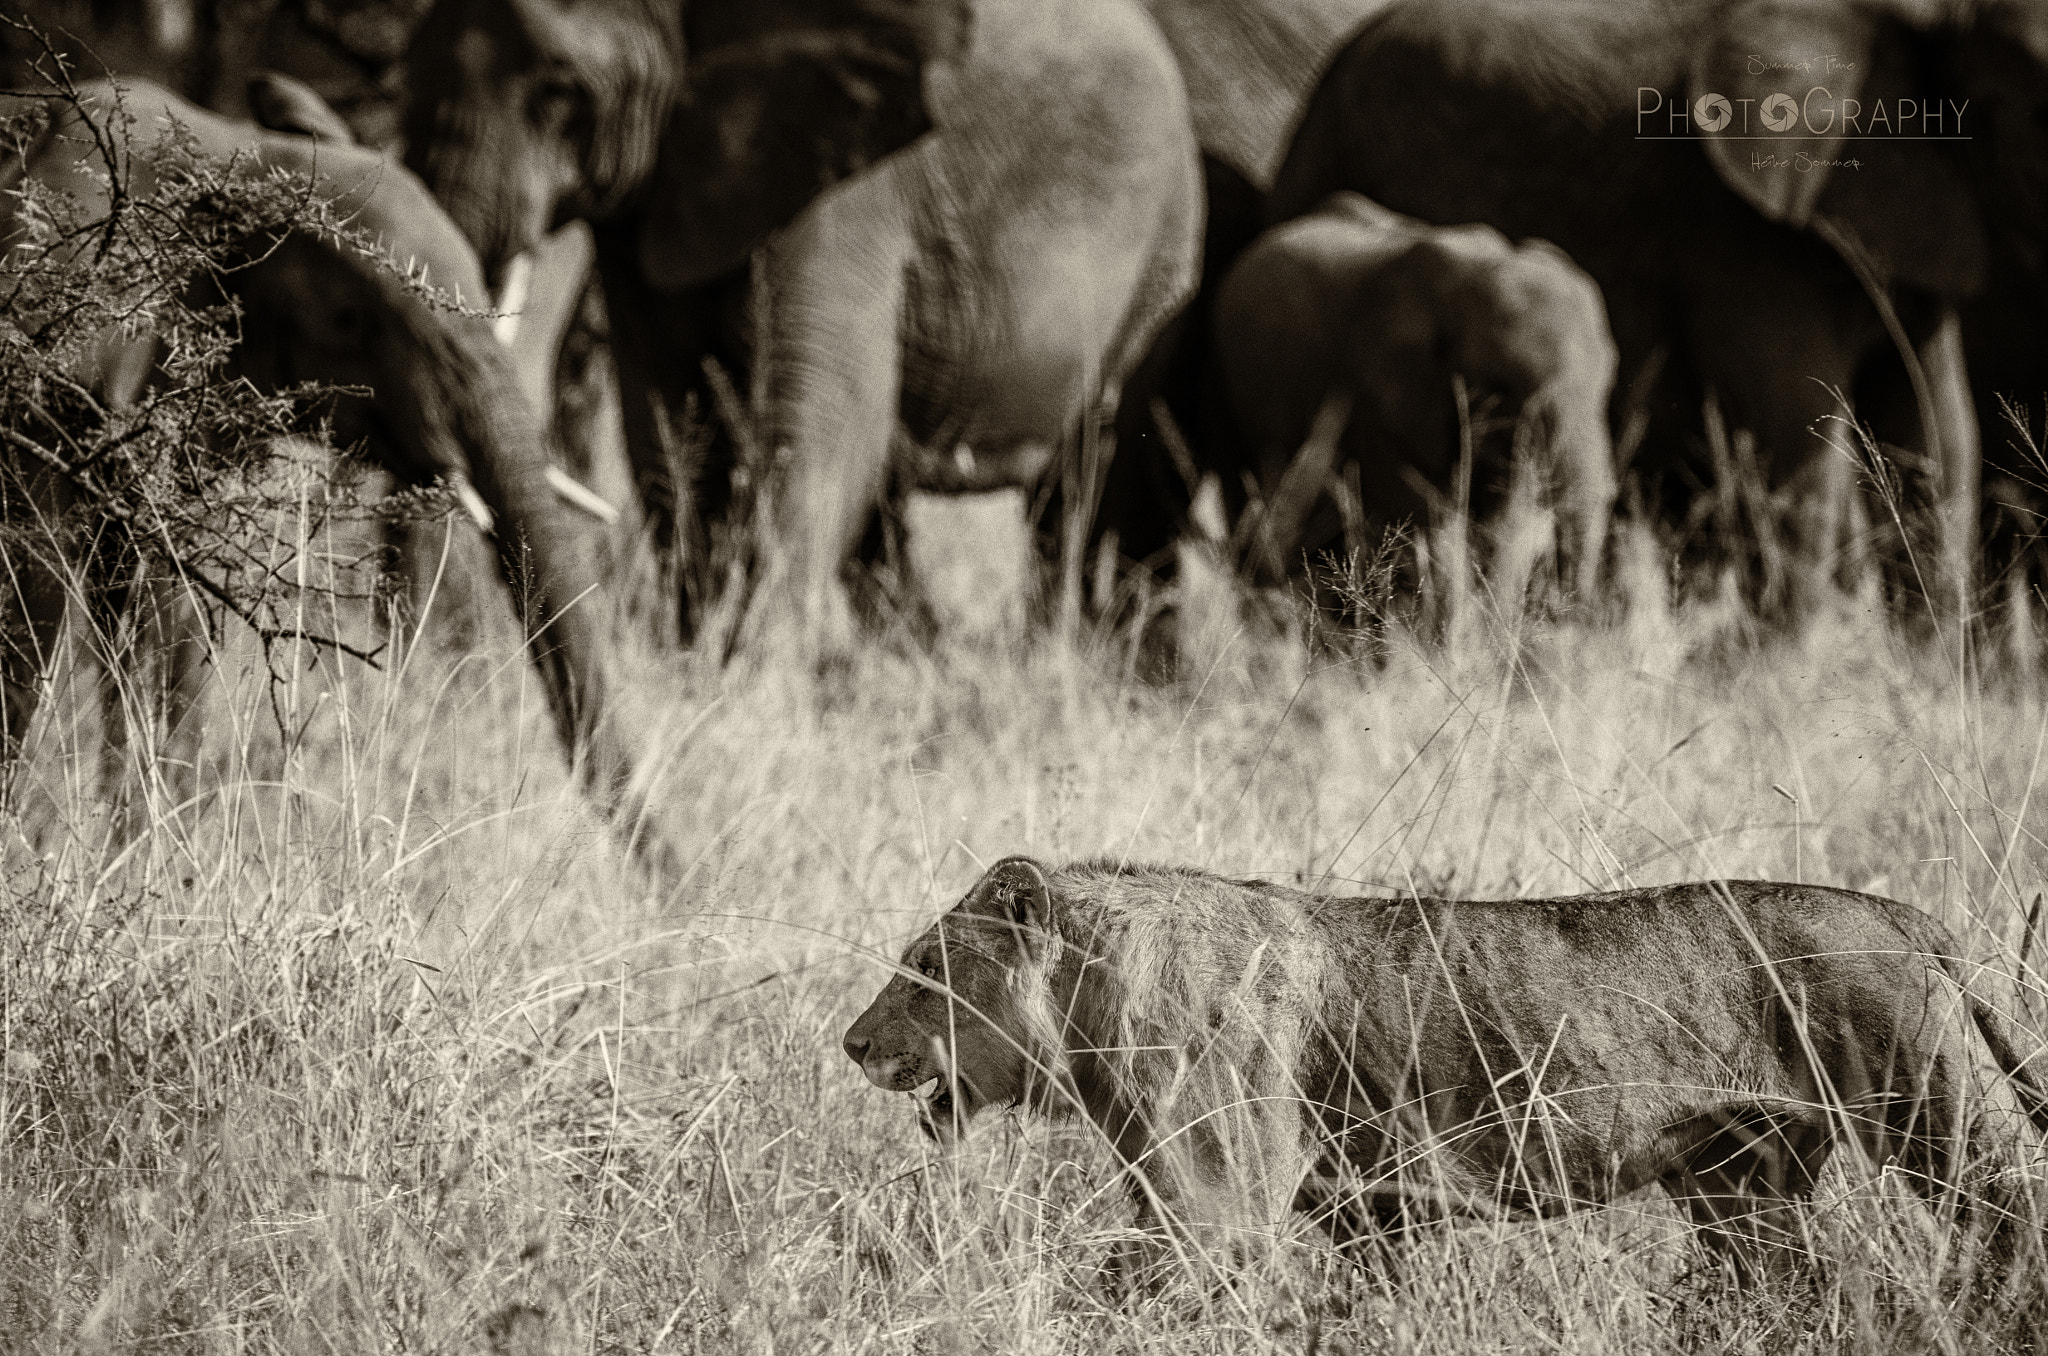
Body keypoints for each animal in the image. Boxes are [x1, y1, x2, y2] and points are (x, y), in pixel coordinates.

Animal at [0, 79, 618, 823]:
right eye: (349, 319)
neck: (234, 150)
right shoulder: (45, 364)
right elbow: (37, 590)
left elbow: (169, 604)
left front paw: (151, 837)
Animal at [401, 0, 1196, 655]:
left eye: (559, 90)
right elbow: (670, 431)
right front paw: (696, 669)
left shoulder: (851, 184)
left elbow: (822, 418)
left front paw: (748, 696)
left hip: (1164, 253)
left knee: (1086, 475)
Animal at [1261, 0, 2048, 622]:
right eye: (2033, 105)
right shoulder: (1733, 234)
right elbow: (1800, 434)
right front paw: (1794, 668)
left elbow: (1937, 440)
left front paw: (1932, 669)